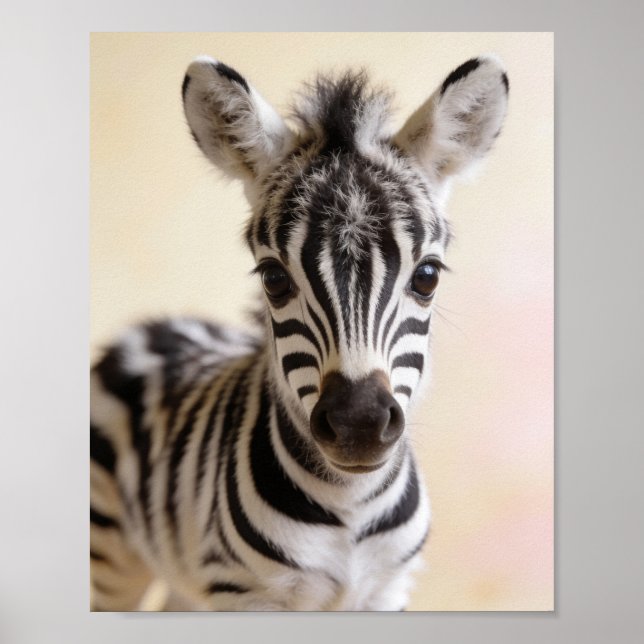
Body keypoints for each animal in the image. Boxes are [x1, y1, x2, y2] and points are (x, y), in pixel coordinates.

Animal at [90, 54, 509, 611]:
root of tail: (154, 325)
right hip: (112, 559)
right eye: (273, 278)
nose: (359, 426)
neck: (351, 508)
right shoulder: (245, 592)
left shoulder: (388, 588)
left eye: (427, 276)